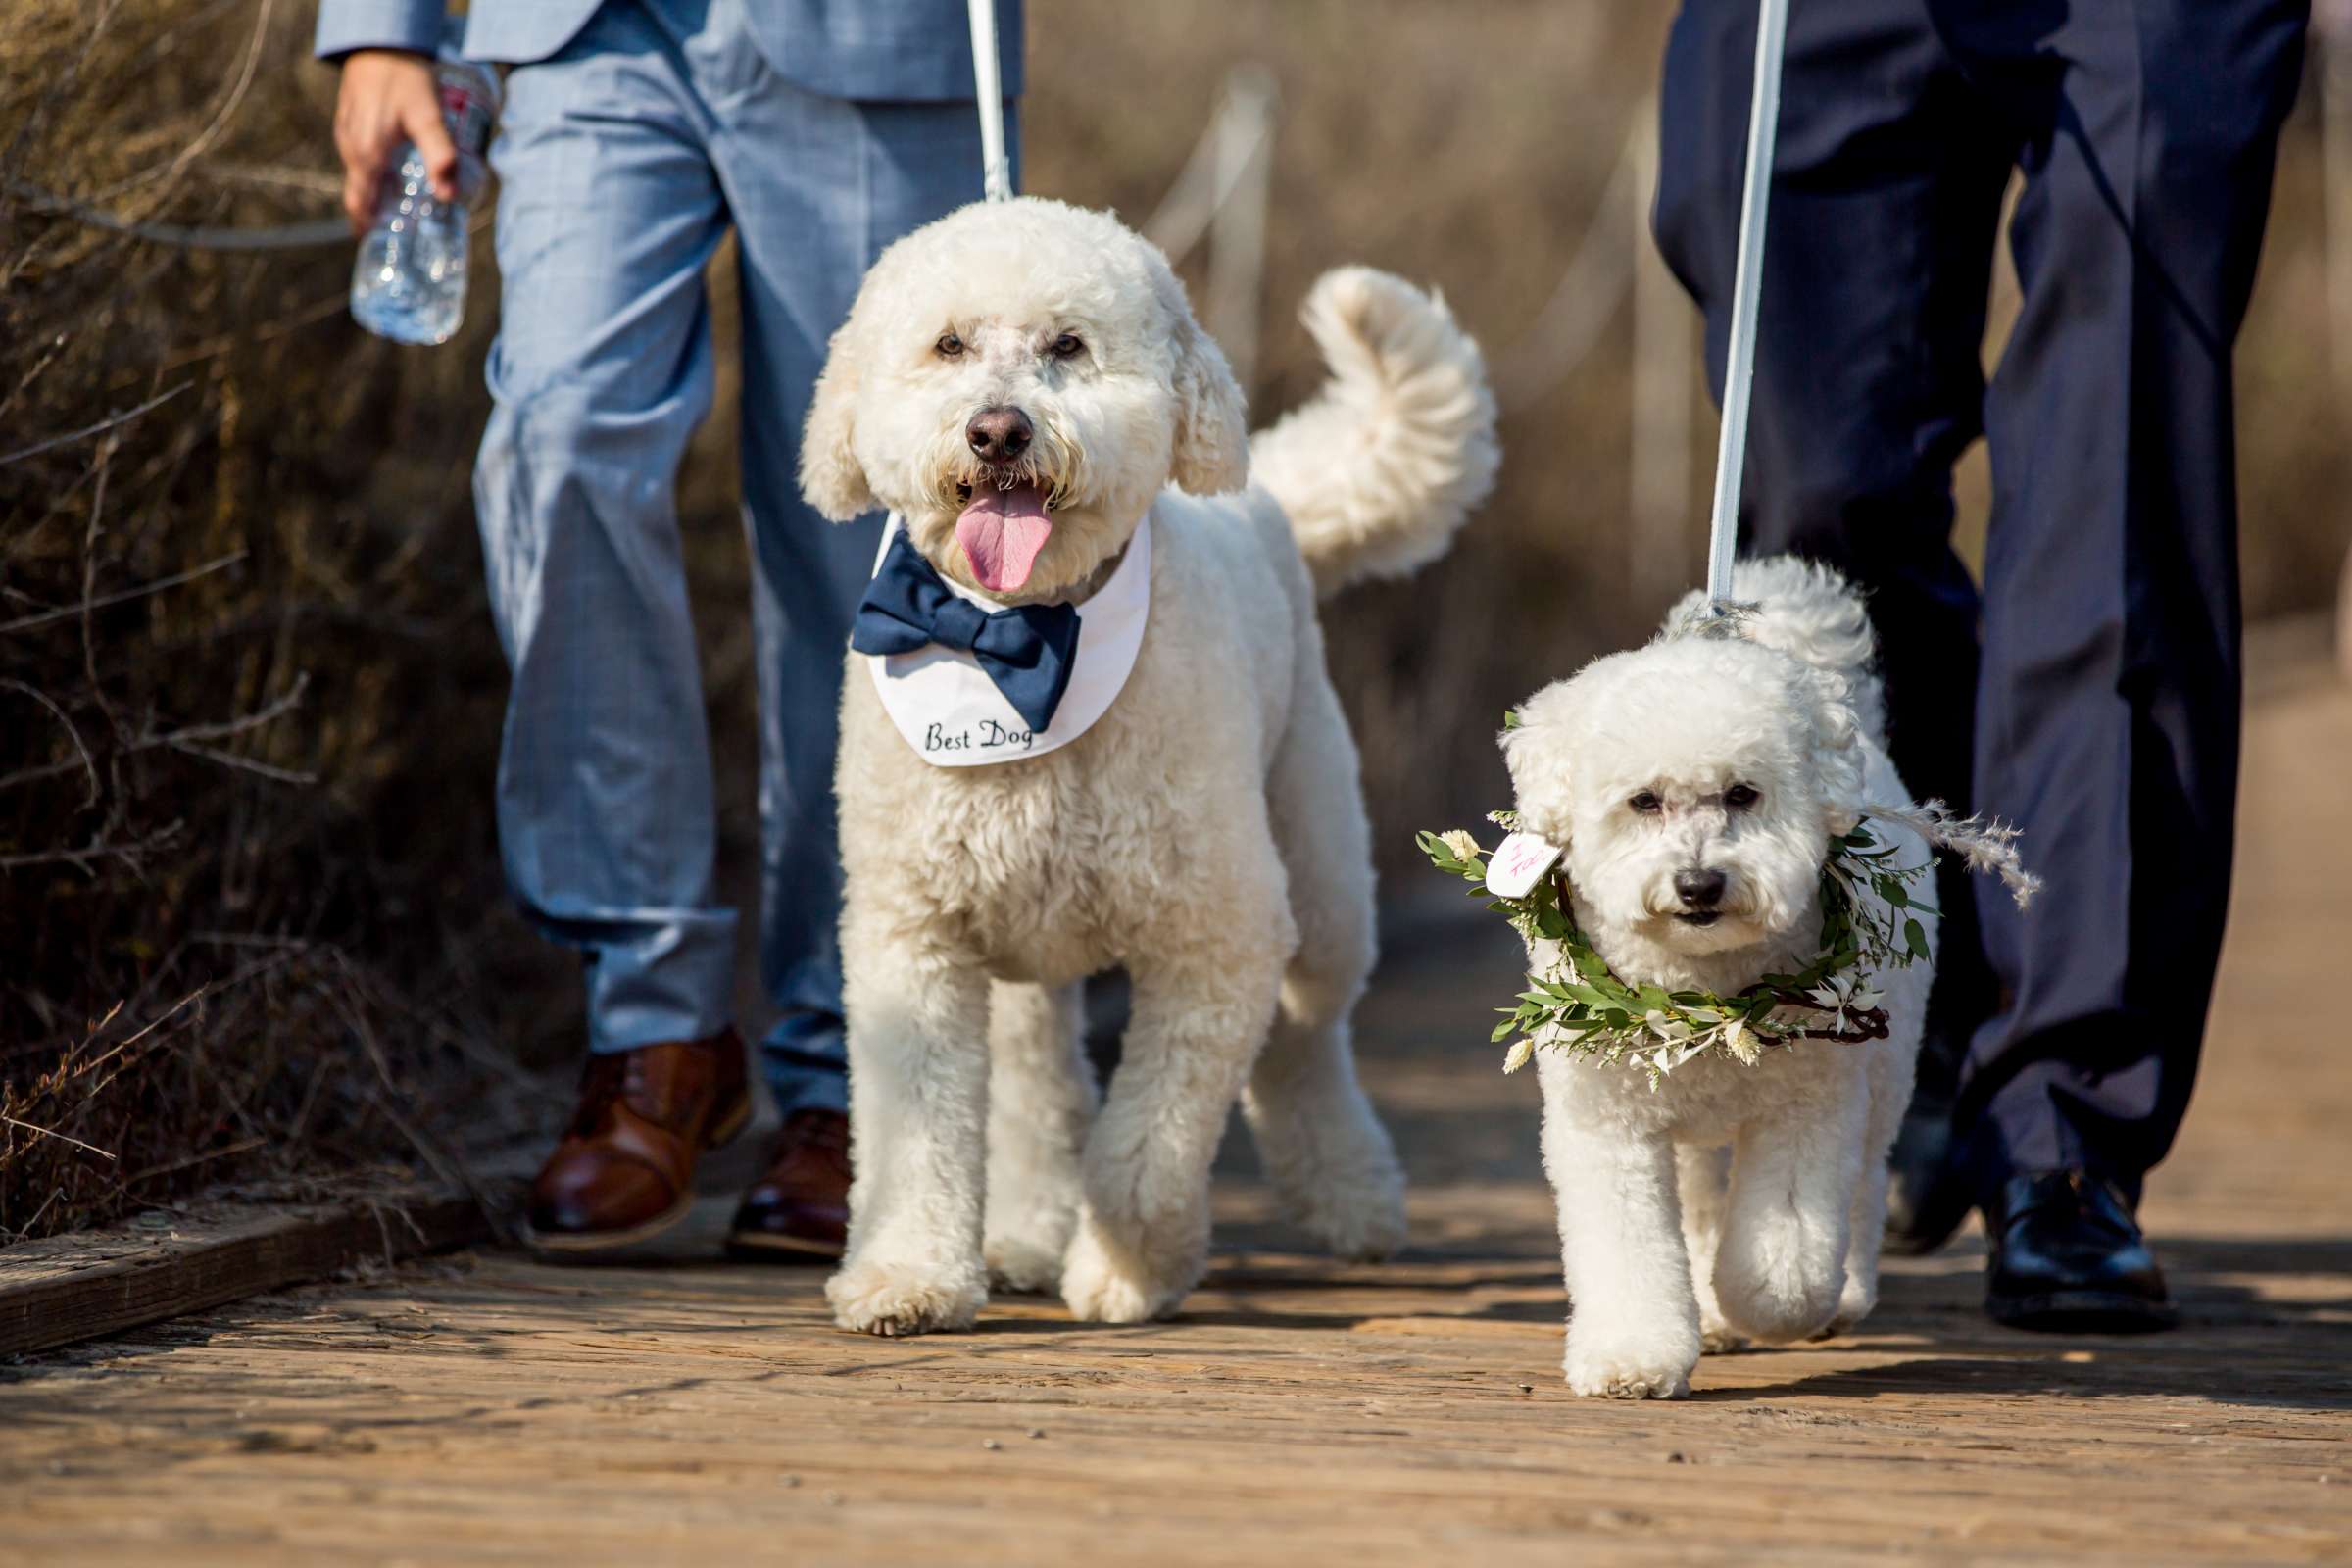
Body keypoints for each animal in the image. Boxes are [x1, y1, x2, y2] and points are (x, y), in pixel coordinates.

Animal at [800, 196, 1495, 1335]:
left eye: (1068, 346)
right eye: (948, 345)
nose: (998, 430)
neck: (1023, 635)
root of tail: (1268, 496)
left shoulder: (1217, 941)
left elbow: (1147, 1149)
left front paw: (1128, 1269)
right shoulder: (915, 939)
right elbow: (916, 1134)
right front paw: (909, 1276)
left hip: (1320, 875)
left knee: (1308, 1042)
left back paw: (1352, 1197)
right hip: (1023, 946)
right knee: (1038, 1084)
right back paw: (1027, 1231)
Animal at [1495, 562, 1937, 1400]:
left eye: (1742, 794)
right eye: (1643, 801)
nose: (1698, 884)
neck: (1703, 993)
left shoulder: (1806, 1106)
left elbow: (1782, 1256)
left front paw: (1768, 1303)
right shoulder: (1610, 1124)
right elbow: (1629, 1249)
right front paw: (1635, 1357)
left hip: (1884, 1067)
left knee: (1865, 1178)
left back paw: (1834, 1295)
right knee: (1701, 1200)